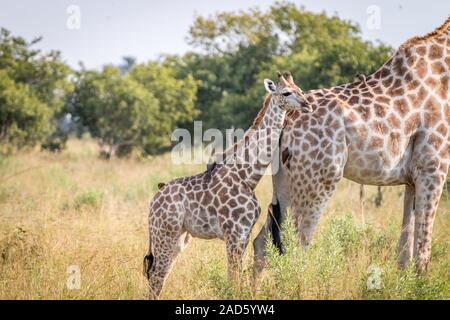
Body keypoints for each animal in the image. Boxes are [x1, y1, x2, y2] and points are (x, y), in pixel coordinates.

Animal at [144, 72, 312, 298]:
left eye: (300, 89)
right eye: (286, 93)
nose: (307, 105)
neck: (247, 175)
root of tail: (153, 202)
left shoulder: (244, 234)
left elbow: (237, 276)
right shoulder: (233, 233)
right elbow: (232, 279)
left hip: (179, 237)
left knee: (159, 274)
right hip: (164, 233)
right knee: (156, 275)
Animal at [255, 17, 448, 274]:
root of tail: (285, 119)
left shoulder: (412, 178)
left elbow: (404, 251)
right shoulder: (433, 166)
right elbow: (422, 252)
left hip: (285, 182)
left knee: (264, 241)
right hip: (318, 179)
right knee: (297, 244)